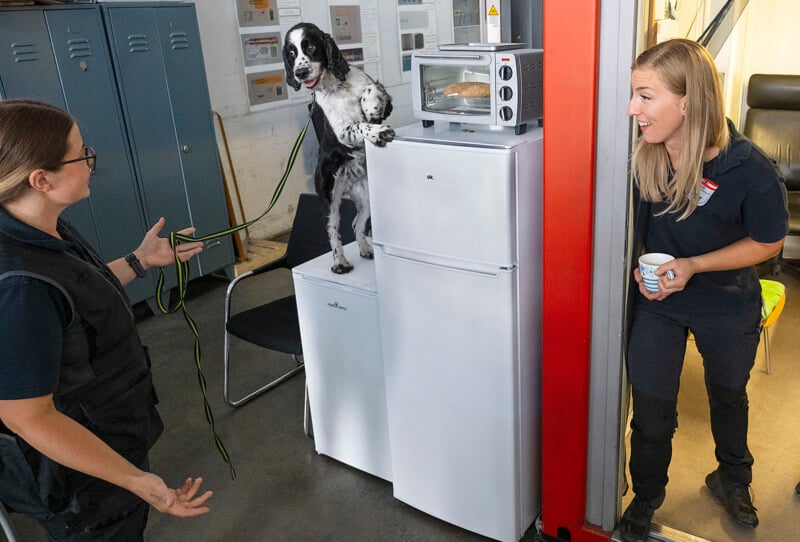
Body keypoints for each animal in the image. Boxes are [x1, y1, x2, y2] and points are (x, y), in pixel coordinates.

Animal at [284, 21, 394, 274]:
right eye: (291, 53)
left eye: (311, 46)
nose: (299, 73)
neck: (338, 86)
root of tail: (350, 181)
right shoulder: (344, 133)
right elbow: (361, 126)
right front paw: (380, 132)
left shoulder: (381, 103)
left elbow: (372, 90)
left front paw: (370, 104)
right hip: (329, 199)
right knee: (333, 232)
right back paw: (340, 262)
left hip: (367, 198)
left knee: (355, 224)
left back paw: (365, 249)